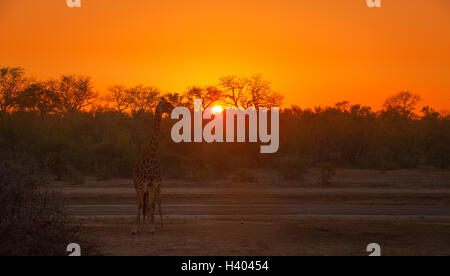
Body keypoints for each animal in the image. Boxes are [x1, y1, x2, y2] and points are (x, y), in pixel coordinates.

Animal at [132, 97, 174, 235]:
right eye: (167, 104)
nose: (174, 109)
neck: (151, 155)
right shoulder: (141, 184)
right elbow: (141, 204)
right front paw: (135, 229)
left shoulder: (154, 183)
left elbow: (152, 205)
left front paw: (152, 227)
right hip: (137, 185)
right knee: (140, 203)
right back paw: (139, 226)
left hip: (150, 187)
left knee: (151, 203)